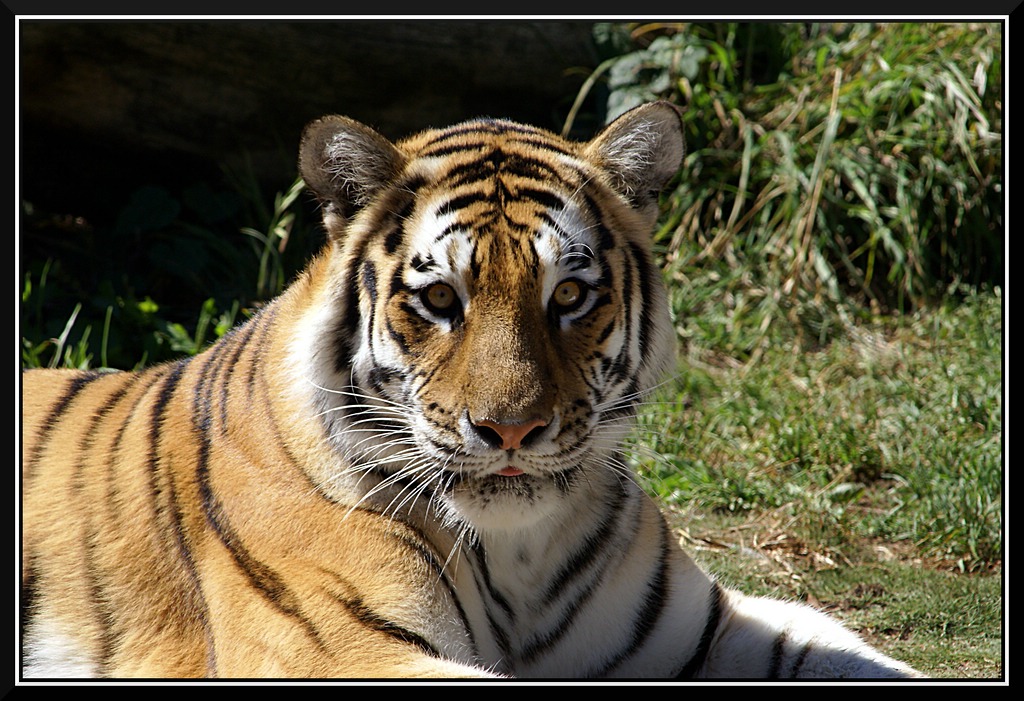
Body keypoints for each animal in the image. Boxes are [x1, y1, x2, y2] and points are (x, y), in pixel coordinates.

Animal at [20, 101, 923, 680]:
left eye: (569, 295)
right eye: (440, 300)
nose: (512, 431)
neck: (519, 552)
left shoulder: (707, 626)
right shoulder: (335, 648)